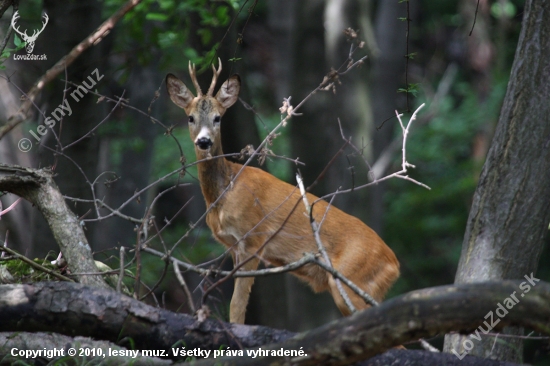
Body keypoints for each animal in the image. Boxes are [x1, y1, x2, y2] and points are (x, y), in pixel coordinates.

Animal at [165, 59, 402, 324]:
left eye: (218, 118)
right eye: (190, 117)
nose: (204, 141)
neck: (223, 191)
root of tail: (394, 263)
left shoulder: (253, 239)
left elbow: (237, 305)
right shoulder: (234, 248)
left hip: (353, 280)